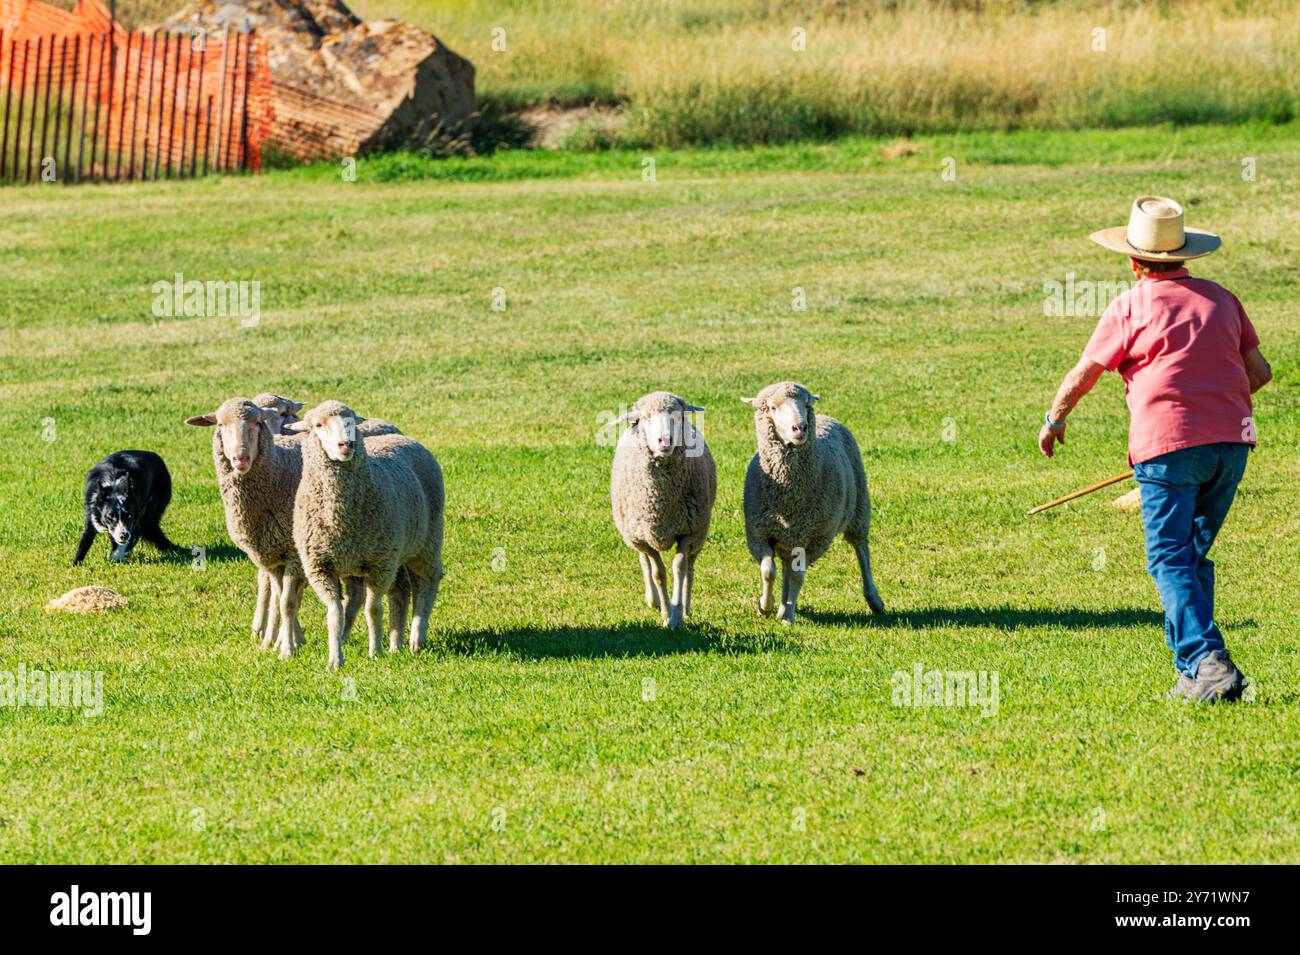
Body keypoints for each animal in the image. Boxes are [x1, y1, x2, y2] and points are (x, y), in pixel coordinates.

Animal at [288, 401, 444, 669]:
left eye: (351, 421)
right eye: (318, 425)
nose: (347, 445)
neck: (341, 520)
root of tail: (404, 438)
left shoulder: (380, 564)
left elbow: (373, 609)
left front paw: (375, 652)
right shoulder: (320, 567)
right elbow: (335, 612)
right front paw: (335, 660)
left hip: (427, 543)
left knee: (428, 583)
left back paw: (416, 636)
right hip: (399, 553)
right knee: (402, 592)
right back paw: (396, 644)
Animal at [611, 391, 716, 628]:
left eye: (678, 416)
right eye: (645, 417)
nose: (665, 441)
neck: (661, 504)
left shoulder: (689, 531)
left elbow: (680, 567)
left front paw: (677, 614)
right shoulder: (644, 537)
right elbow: (658, 573)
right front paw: (666, 614)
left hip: (700, 531)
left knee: (691, 565)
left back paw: (686, 608)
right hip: (634, 535)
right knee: (644, 562)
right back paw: (654, 600)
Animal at [742, 381, 885, 625]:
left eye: (807, 404)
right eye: (772, 407)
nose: (801, 427)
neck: (789, 496)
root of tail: (829, 417)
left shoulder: (813, 538)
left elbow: (798, 577)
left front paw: (788, 617)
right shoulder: (759, 534)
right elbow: (769, 571)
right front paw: (765, 607)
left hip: (859, 510)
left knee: (861, 549)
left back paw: (874, 599)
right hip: (790, 538)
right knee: (787, 566)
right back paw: (781, 606)